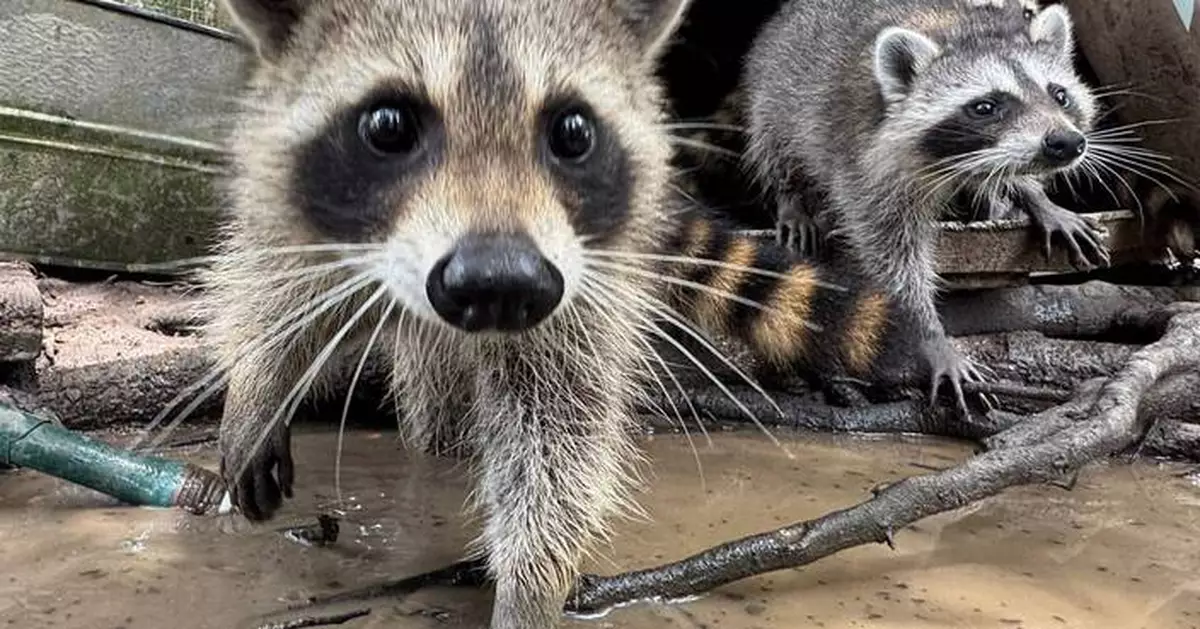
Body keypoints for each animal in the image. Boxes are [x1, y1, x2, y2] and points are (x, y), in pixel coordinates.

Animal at [209, 0, 923, 627]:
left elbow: (559, 418)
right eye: (388, 127)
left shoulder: (579, 274)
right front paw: (257, 389)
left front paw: (531, 583)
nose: (495, 285)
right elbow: (275, 282)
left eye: (573, 134)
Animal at [743, 0, 1107, 406]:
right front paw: (929, 334)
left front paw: (1035, 196)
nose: (1066, 143)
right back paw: (792, 199)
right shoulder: (865, 162)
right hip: (776, 89)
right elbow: (892, 257)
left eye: (1059, 94)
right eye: (985, 107)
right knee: (776, 142)